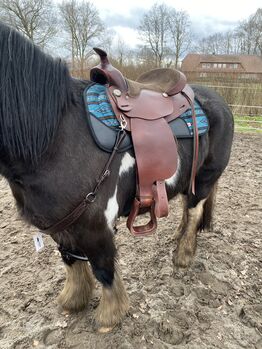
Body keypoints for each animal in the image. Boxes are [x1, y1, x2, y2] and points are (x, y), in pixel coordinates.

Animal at [0, 22, 233, 332]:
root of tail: (218, 100)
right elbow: (71, 261)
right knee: (187, 209)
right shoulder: (60, 225)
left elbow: (103, 268)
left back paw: (183, 255)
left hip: (205, 178)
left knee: (195, 211)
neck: (55, 136)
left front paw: (111, 315)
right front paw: (74, 299)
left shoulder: (95, 225)